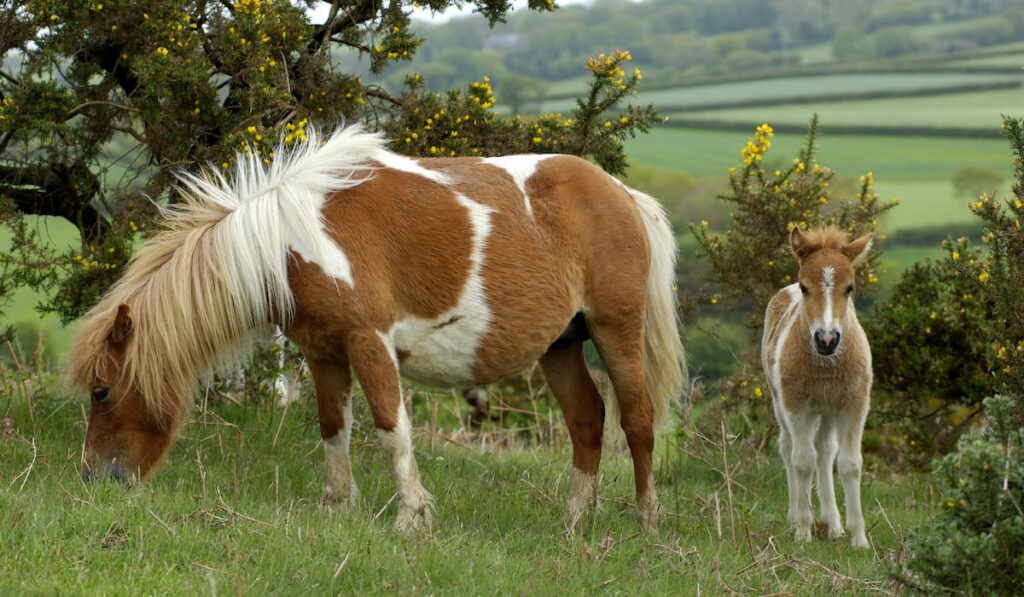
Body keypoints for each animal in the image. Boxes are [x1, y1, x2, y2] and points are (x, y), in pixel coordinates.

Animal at [761, 226, 872, 548]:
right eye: (804, 287)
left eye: (849, 288)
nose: (827, 339)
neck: (826, 365)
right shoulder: (796, 405)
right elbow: (802, 461)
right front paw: (803, 531)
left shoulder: (855, 403)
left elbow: (849, 464)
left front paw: (858, 537)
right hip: (781, 402)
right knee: (789, 449)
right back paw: (797, 515)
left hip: (827, 410)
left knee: (825, 453)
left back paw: (833, 524)